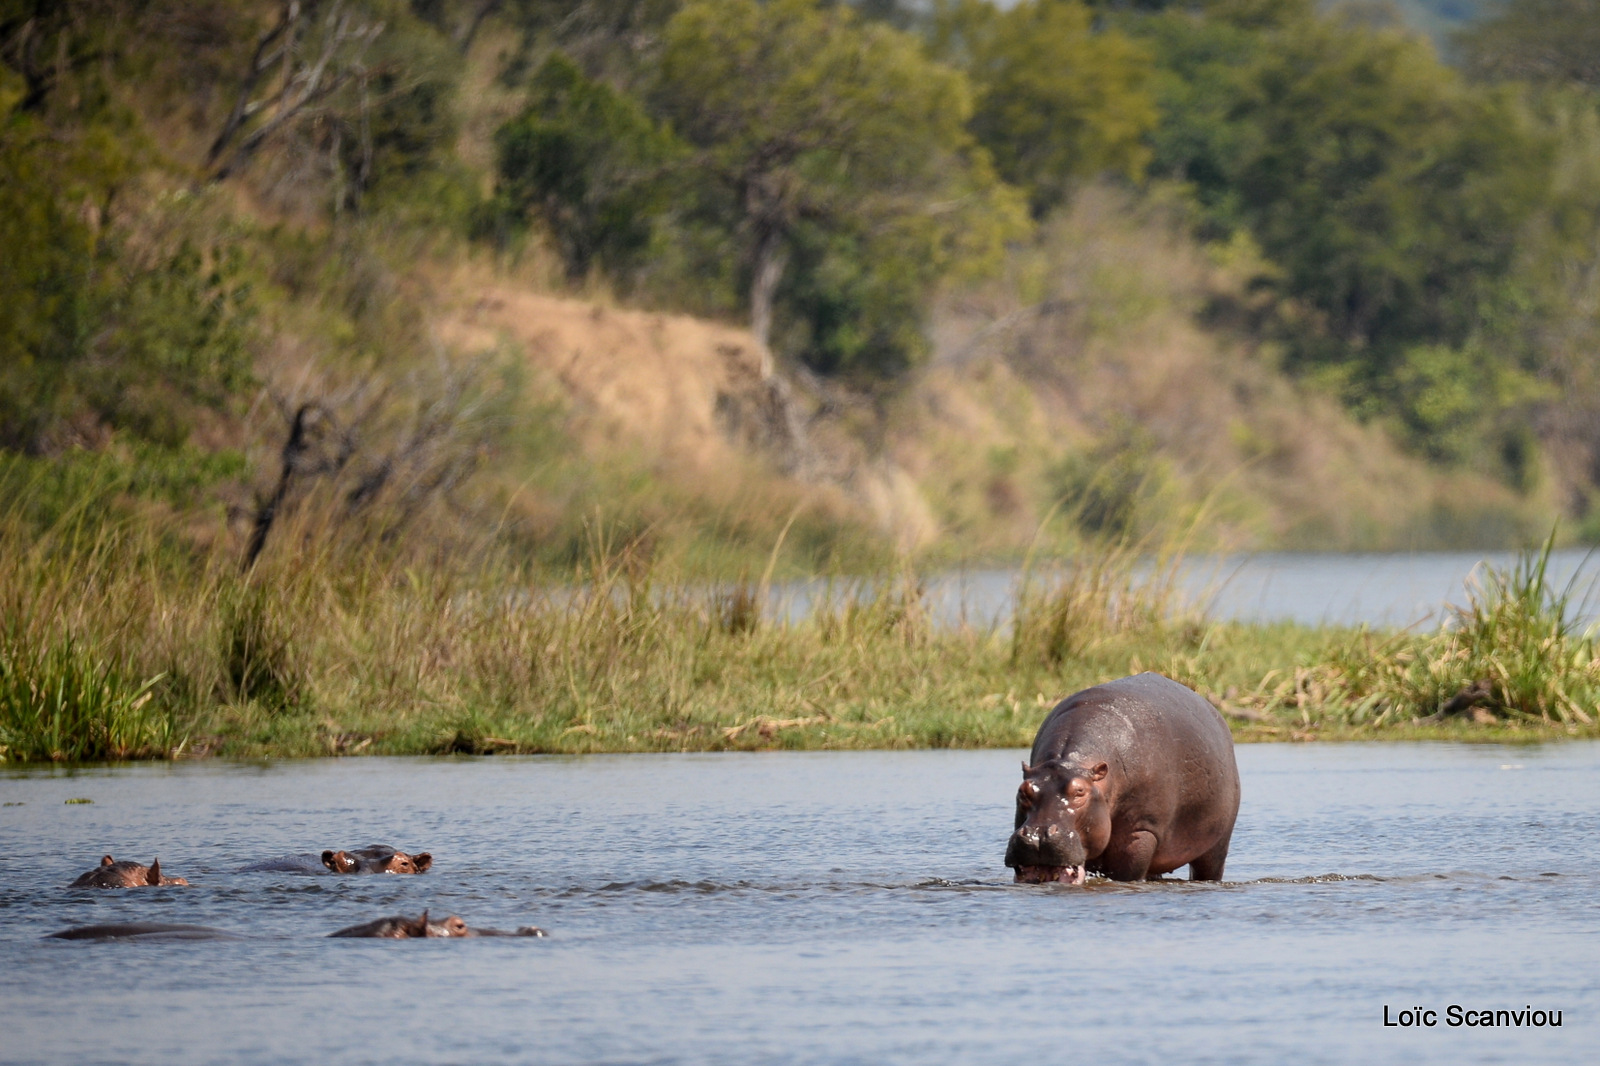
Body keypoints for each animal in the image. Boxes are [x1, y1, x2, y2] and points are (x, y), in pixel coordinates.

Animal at [1004, 669, 1241, 883]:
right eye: (1023, 791)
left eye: (1080, 791)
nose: (1038, 835)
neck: (1071, 763)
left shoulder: (1141, 833)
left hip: (1217, 844)